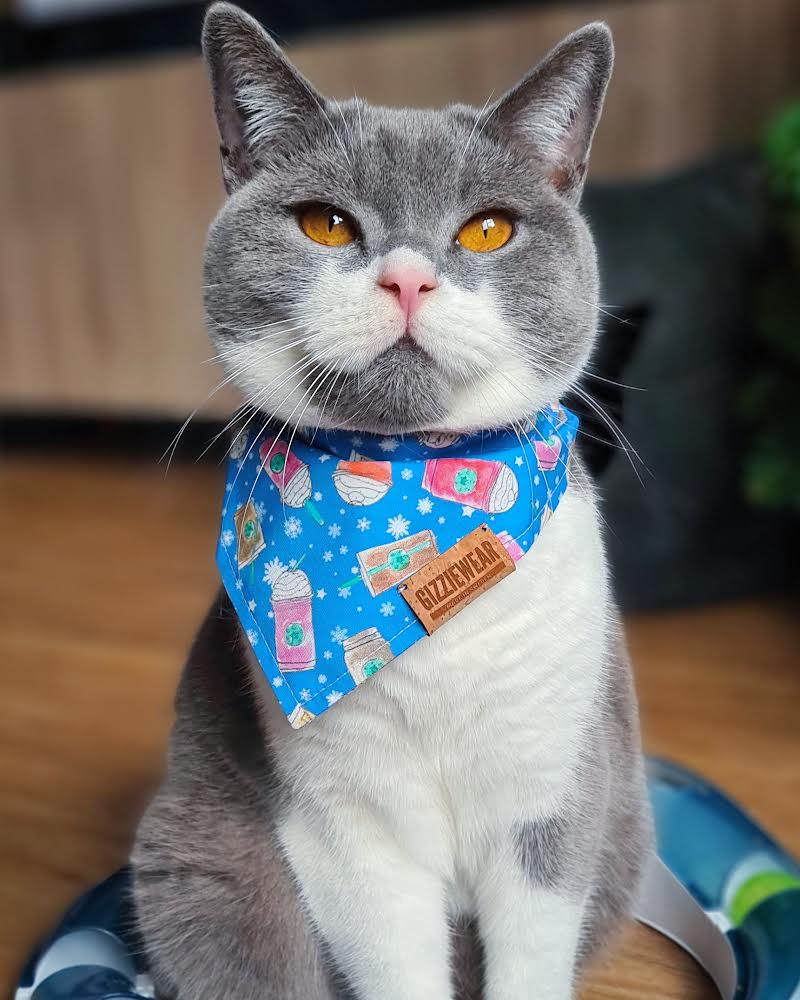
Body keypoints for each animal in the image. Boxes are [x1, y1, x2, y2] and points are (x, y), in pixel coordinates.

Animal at [133, 3, 656, 996]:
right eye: (326, 224)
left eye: (487, 230)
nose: (407, 278)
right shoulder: (342, 822)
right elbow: (393, 957)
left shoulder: (557, 789)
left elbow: (533, 945)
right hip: (205, 859)